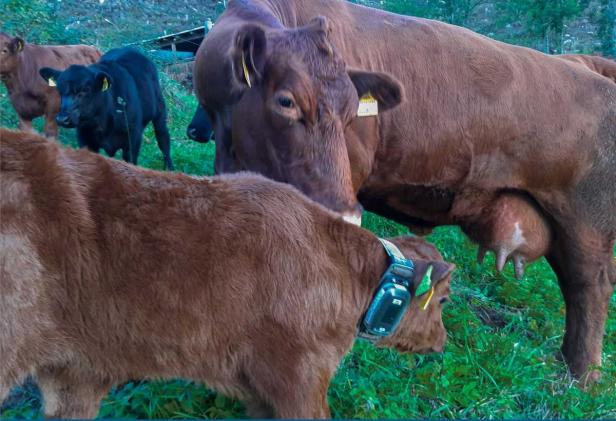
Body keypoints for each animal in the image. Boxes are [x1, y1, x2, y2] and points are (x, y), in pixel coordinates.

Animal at [39, 46, 173, 169]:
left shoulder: (133, 139)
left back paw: (169, 168)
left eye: (85, 89)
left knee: (163, 139)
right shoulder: (85, 140)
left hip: (160, 111)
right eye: (59, 90)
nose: (62, 119)